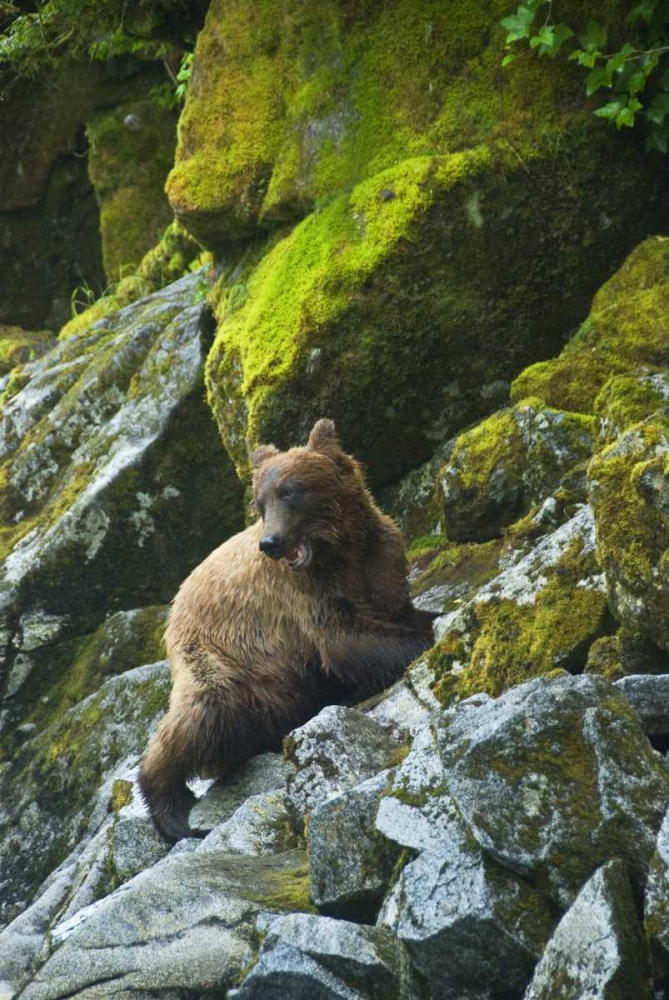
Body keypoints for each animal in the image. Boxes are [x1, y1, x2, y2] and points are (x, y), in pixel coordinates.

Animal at [138, 418, 436, 840]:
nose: (271, 543)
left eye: (290, 491)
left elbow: (396, 611)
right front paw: (424, 638)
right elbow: (345, 641)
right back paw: (174, 814)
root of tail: (173, 609)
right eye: (259, 503)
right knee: (202, 714)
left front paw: (430, 617)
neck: (341, 551)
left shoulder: (380, 560)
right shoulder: (306, 595)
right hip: (222, 659)